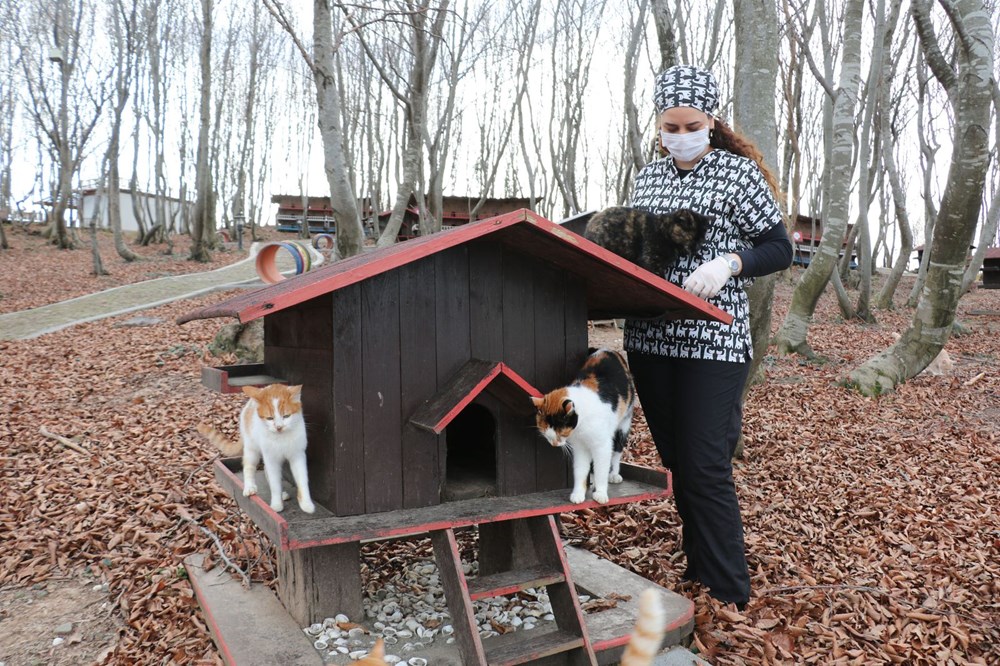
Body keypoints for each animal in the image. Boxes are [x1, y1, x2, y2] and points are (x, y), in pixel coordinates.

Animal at [197, 382, 314, 510]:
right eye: (270, 418)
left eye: (286, 416)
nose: (279, 427)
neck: (281, 438)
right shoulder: (271, 457)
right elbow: (275, 483)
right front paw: (276, 504)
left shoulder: (297, 455)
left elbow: (302, 479)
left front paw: (306, 504)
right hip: (252, 449)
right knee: (248, 466)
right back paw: (249, 487)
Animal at [532, 350, 632, 500]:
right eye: (546, 434)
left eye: (562, 433)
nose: (554, 444)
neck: (580, 427)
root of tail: (608, 350)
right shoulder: (580, 447)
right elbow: (581, 469)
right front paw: (578, 493)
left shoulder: (602, 445)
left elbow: (601, 467)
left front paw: (600, 493)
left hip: (624, 422)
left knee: (616, 450)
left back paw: (614, 475)